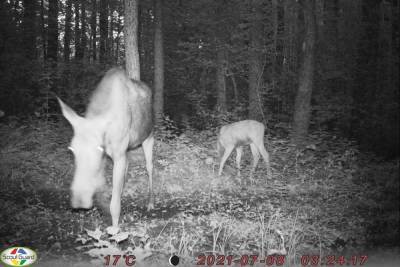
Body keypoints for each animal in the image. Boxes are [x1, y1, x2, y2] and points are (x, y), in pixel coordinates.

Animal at [57, 68, 154, 231]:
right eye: (72, 149)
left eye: (98, 148)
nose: (79, 201)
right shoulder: (111, 156)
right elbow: (102, 187)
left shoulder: (118, 155)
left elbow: (114, 205)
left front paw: (114, 230)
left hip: (149, 136)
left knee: (150, 168)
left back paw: (151, 202)